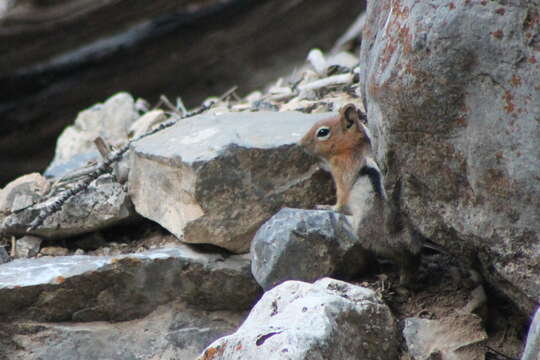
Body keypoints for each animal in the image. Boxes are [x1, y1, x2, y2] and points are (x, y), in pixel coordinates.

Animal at [300, 103, 422, 286]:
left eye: (322, 132)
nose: (300, 143)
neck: (351, 147)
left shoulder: (342, 176)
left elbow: (341, 200)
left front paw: (326, 207)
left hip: (366, 230)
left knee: (401, 256)